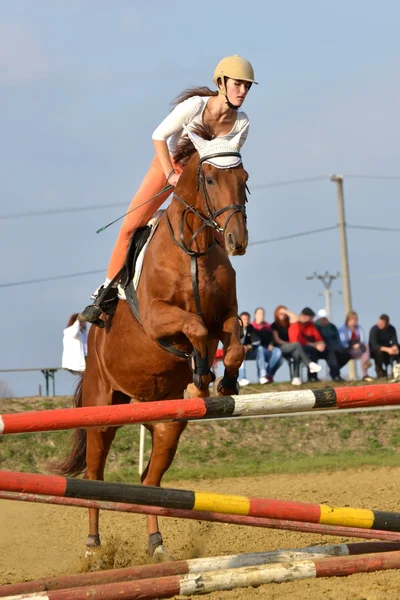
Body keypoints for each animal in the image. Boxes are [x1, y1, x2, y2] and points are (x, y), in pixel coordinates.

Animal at [55, 124, 250, 560]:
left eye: (244, 180)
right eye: (210, 179)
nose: (236, 241)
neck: (193, 250)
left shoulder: (227, 314)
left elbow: (234, 343)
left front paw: (224, 382)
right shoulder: (159, 320)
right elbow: (195, 329)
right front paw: (201, 375)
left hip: (165, 424)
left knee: (150, 483)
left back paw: (156, 543)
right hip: (102, 407)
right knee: (95, 475)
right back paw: (94, 548)